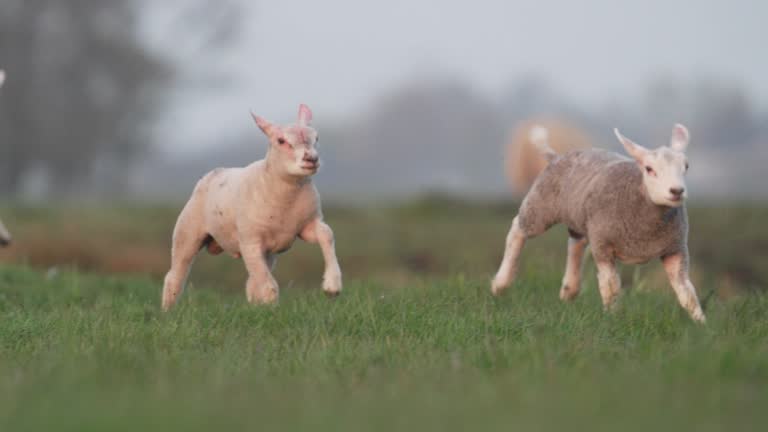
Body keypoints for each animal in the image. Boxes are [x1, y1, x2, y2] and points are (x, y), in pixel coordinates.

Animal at [162, 103, 342, 308]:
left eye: (317, 138)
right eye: (281, 141)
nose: (311, 159)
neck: (286, 197)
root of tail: (212, 174)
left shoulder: (306, 226)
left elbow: (326, 234)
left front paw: (332, 286)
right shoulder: (250, 241)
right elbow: (268, 286)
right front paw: (272, 308)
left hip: (269, 251)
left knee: (252, 281)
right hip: (187, 231)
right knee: (175, 275)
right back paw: (168, 309)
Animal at [496, 123, 704, 322]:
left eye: (686, 166)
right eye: (649, 169)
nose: (677, 191)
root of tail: (555, 156)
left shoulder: (675, 249)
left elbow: (687, 292)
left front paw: (700, 323)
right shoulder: (603, 244)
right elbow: (611, 286)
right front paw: (613, 318)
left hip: (580, 217)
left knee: (576, 243)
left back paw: (569, 289)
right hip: (541, 205)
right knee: (518, 230)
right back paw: (501, 284)